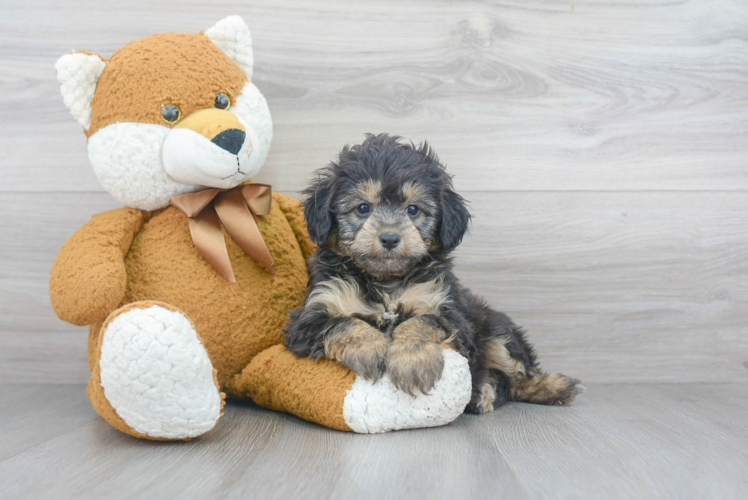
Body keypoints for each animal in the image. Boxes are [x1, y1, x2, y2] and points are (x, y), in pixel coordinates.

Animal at [284, 134, 580, 414]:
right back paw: (483, 392)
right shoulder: (310, 317)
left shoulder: (449, 312)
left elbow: (421, 322)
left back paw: (551, 388)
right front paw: (370, 349)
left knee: (518, 375)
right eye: (363, 208)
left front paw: (412, 363)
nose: (390, 238)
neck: (386, 282)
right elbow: (344, 323)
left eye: (413, 209)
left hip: (496, 328)